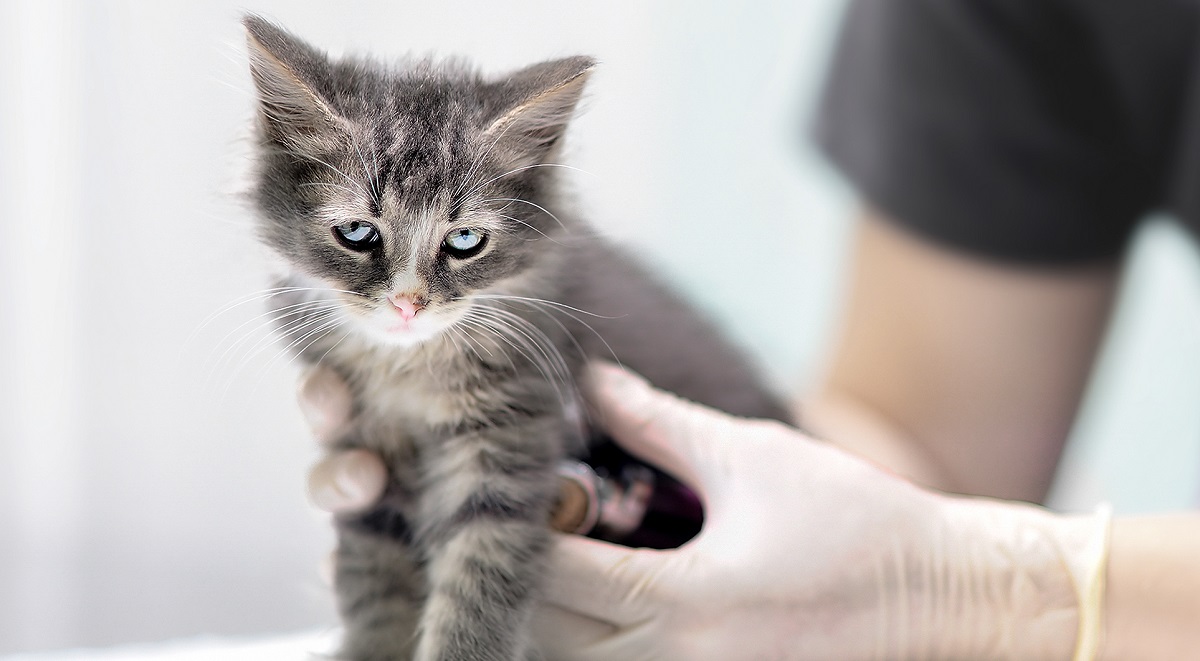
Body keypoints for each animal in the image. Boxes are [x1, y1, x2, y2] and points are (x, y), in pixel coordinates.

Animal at [241, 15, 787, 661]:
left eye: (464, 241)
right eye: (356, 232)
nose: (408, 304)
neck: (410, 370)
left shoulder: (511, 437)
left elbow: (479, 583)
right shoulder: (366, 453)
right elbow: (375, 585)